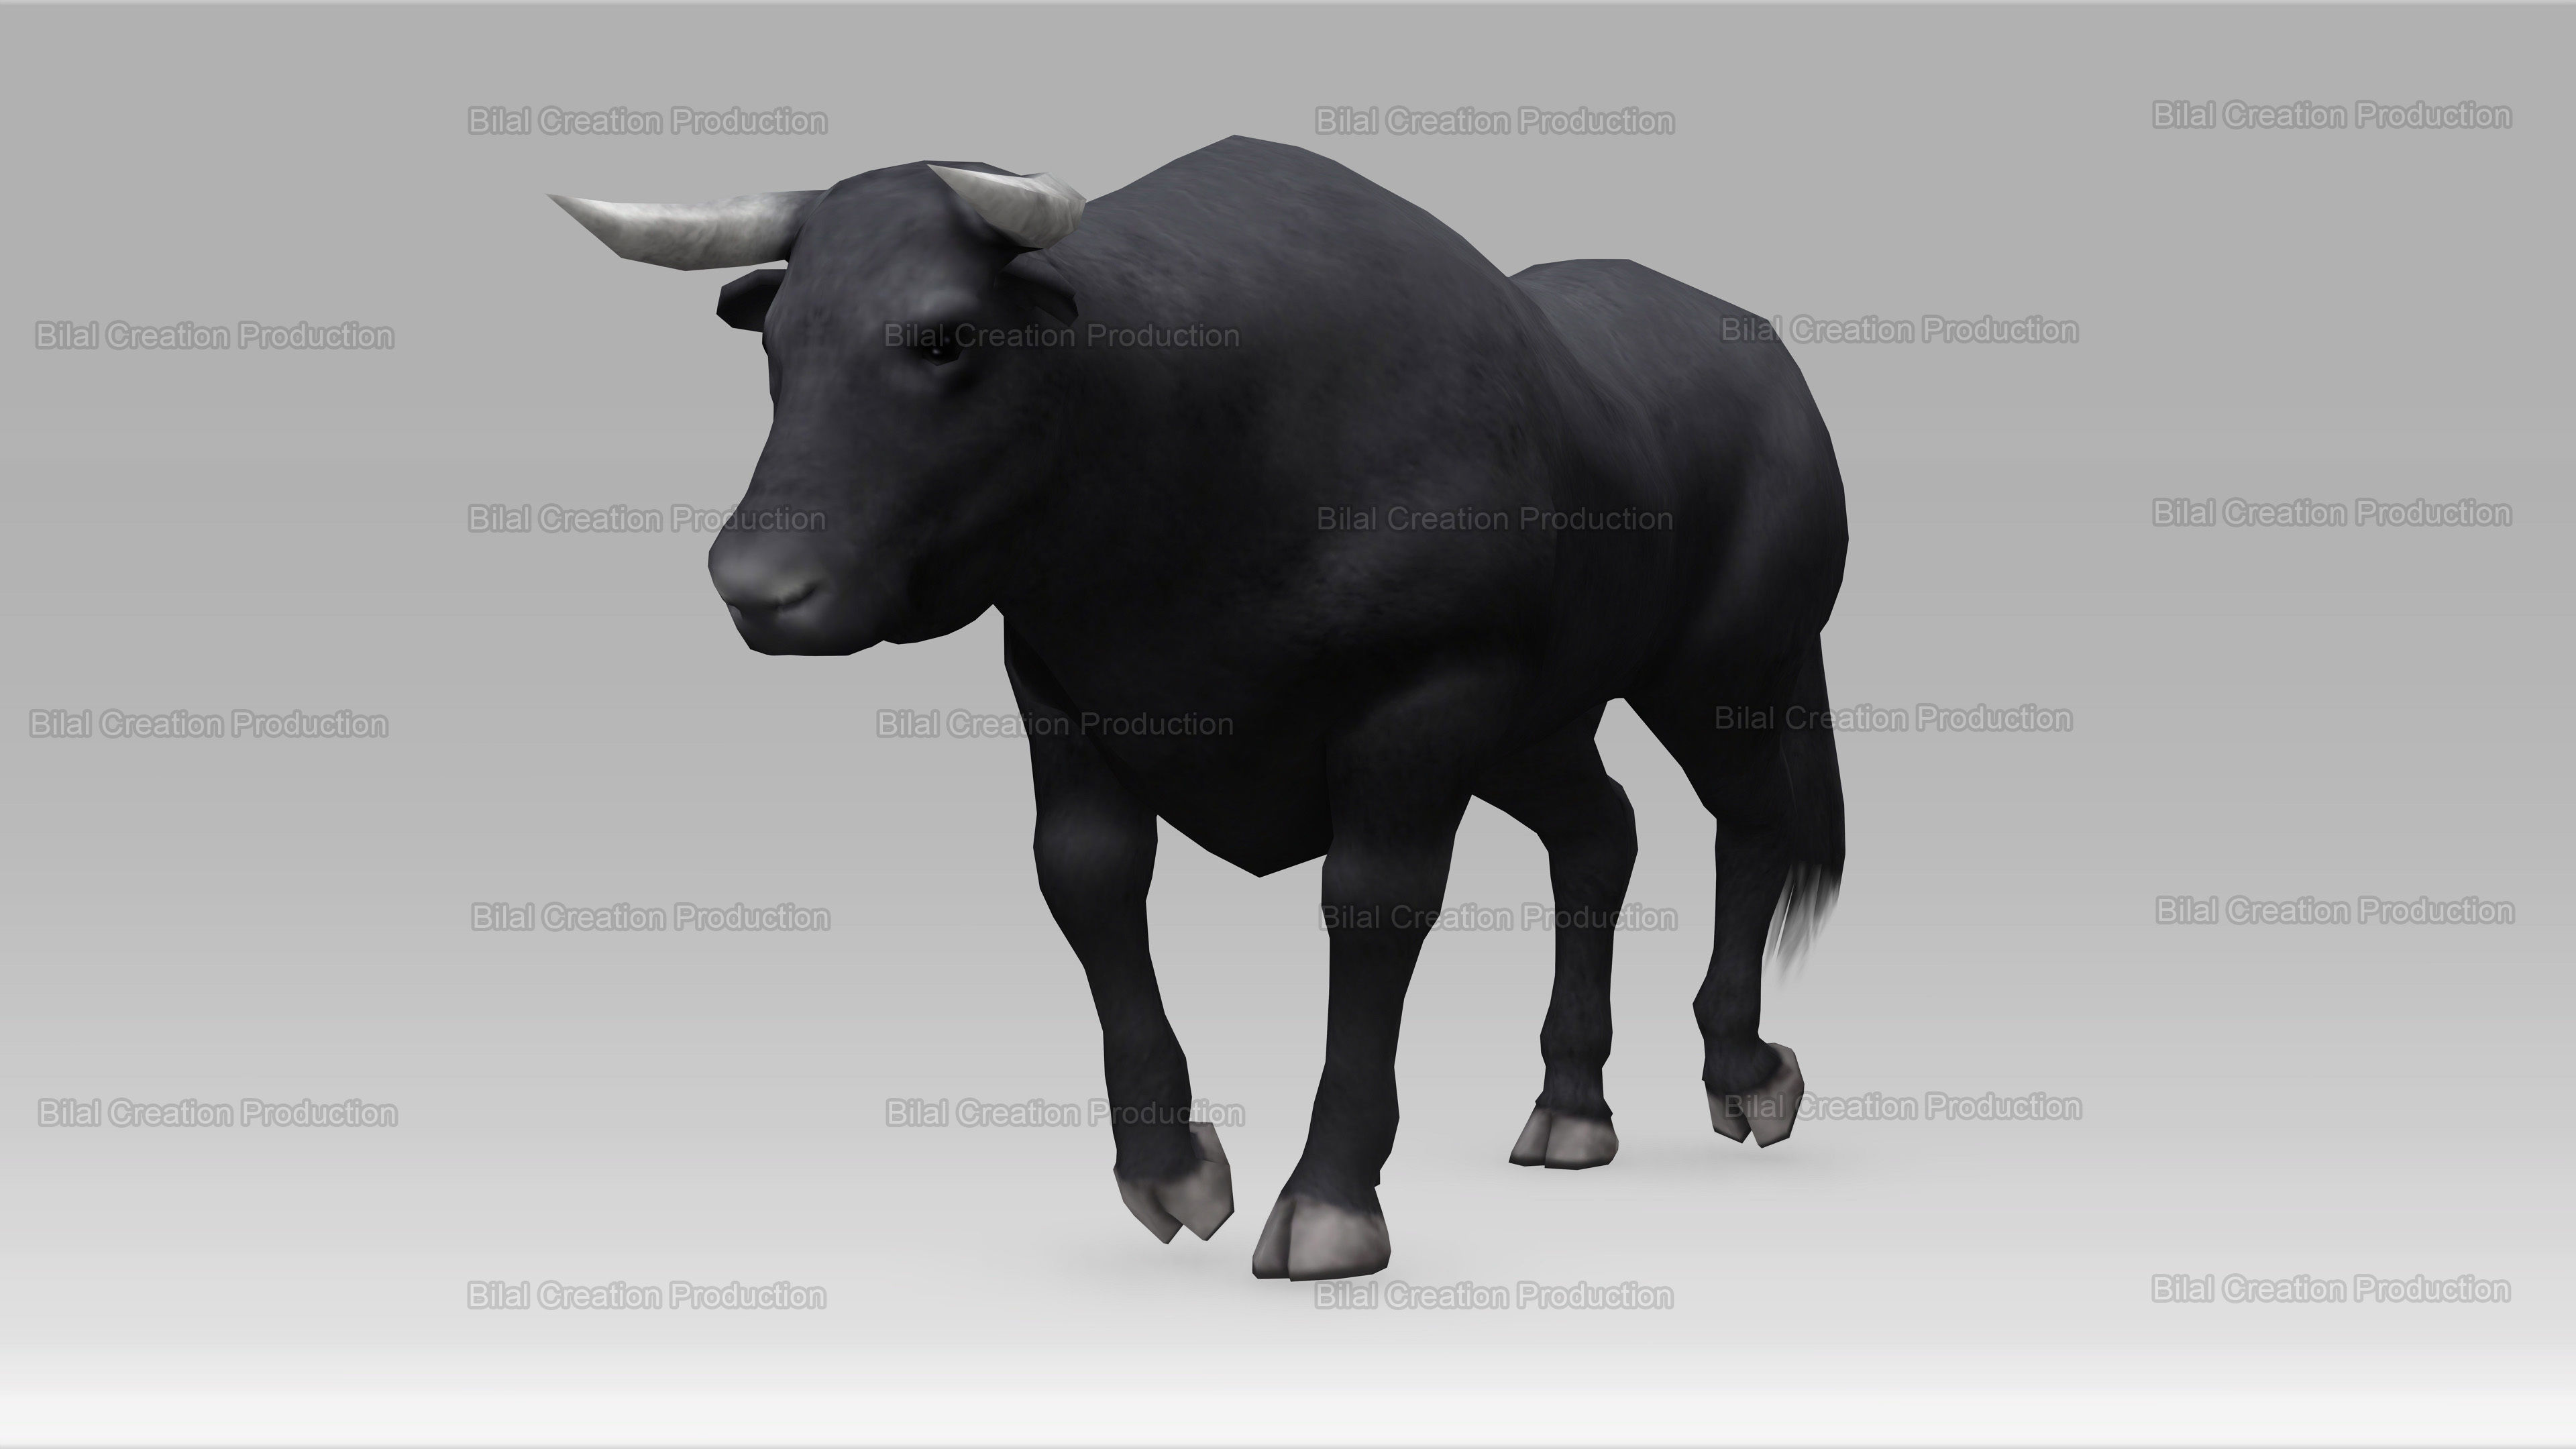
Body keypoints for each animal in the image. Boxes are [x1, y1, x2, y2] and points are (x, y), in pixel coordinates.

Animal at [552, 135, 1847, 1281]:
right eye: (777, 340)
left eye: (946, 334)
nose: (759, 587)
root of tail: (1765, 358)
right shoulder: (1063, 693)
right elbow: (1087, 881)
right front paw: (1168, 1165)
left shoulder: (1424, 704)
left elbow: (1371, 909)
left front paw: (1331, 1199)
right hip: (1538, 728)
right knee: (1600, 833)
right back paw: (1572, 1103)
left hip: (1729, 676)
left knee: (1751, 829)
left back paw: (1741, 1070)